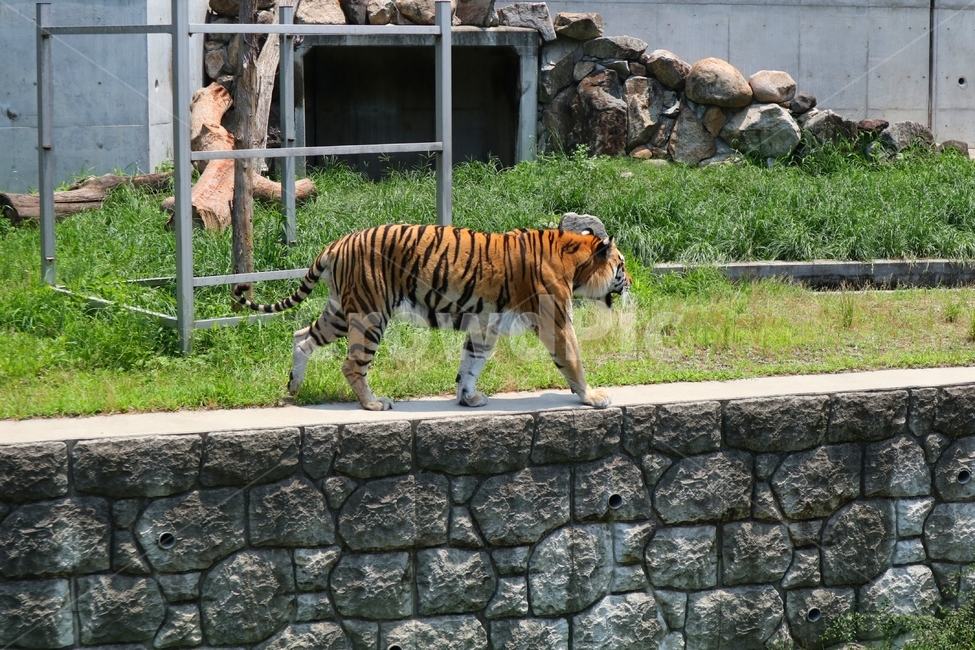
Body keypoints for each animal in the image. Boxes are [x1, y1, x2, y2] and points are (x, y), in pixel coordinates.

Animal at [232, 219, 631, 411]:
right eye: (622, 265)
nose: (629, 283)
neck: (575, 261)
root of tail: (338, 242)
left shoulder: (484, 325)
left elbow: (471, 363)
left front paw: (468, 397)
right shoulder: (556, 322)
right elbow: (573, 360)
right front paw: (593, 397)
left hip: (342, 311)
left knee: (302, 336)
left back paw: (293, 388)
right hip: (370, 313)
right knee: (351, 364)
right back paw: (373, 404)